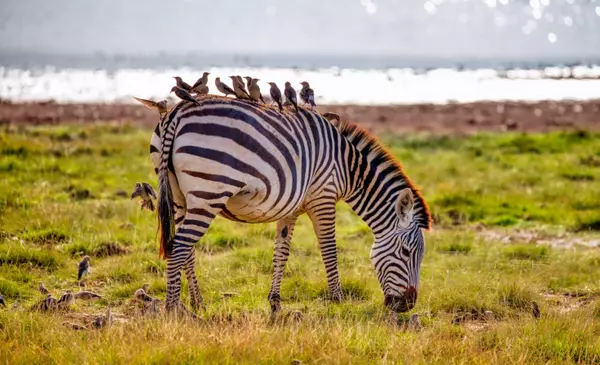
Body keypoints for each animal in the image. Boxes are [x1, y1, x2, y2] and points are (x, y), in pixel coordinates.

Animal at [146, 95, 434, 314]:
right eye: (407, 252)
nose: (407, 306)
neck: (348, 166)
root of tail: (177, 112)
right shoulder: (323, 197)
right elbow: (329, 249)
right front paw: (338, 300)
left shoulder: (292, 207)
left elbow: (281, 252)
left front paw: (274, 302)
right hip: (208, 193)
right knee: (179, 247)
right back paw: (172, 309)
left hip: (179, 197)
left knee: (186, 249)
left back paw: (197, 303)